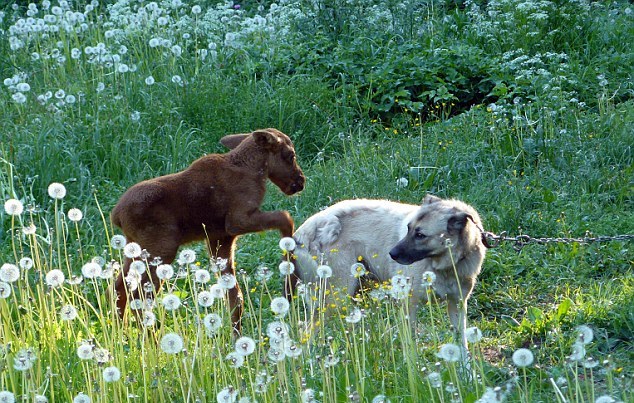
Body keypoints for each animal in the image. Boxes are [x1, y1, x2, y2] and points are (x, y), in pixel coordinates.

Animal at [110, 128, 304, 332]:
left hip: (134, 250)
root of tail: (116, 215)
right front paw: (289, 268)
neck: (256, 171)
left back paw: (122, 333)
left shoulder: (220, 237)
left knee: (118, 288)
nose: (301, 181)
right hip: (161, 250)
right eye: (290, 155)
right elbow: (285, 217)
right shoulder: (238, 220)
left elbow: (235, 299)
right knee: (139, 298)